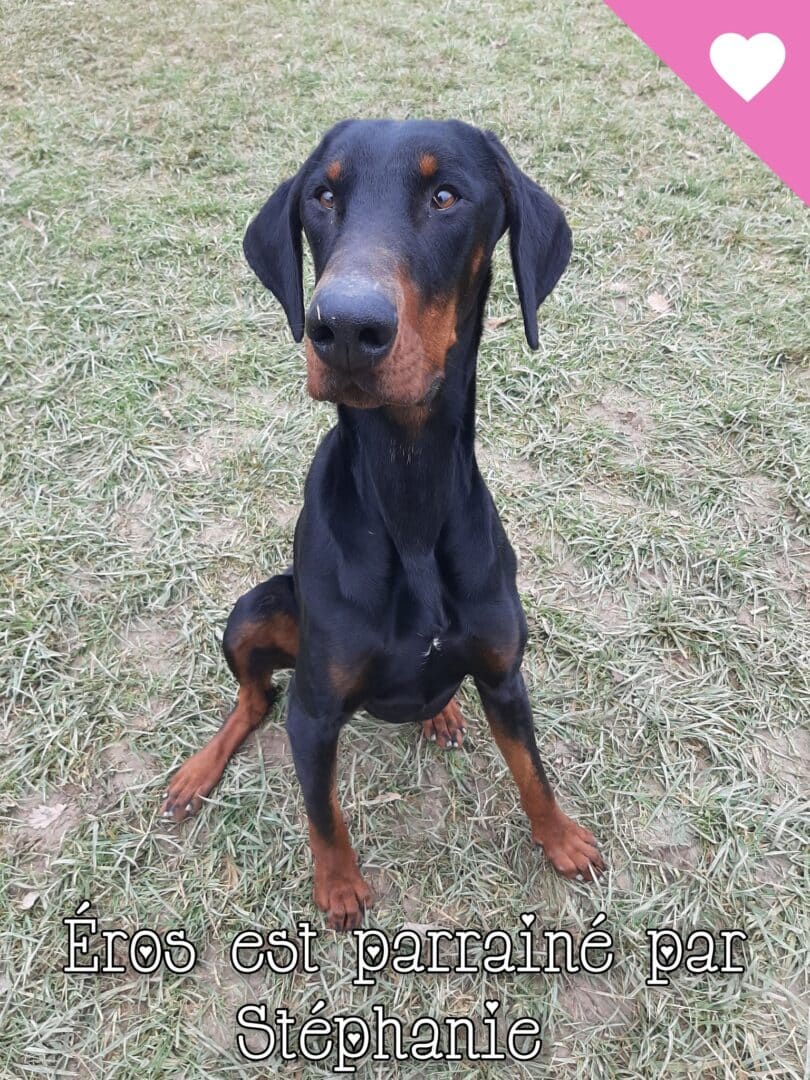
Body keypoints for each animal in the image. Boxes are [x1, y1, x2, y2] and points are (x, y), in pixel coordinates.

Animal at [161, 119, 604, 930]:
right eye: (323, 195)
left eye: (446, 195)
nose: (344, 327)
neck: (409, 487)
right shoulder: (315, 716)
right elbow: (322, 810)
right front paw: (338, 888)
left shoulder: (504, 675)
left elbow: (533, 770)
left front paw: (562, 841)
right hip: (257, 608)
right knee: (255, 698)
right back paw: (198, 771)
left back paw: (442, 712)